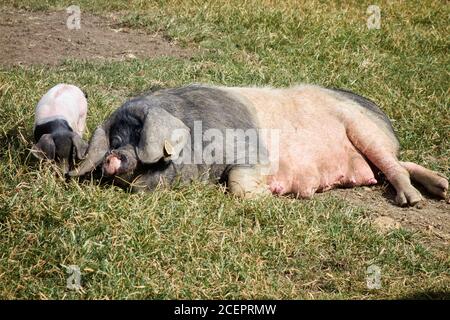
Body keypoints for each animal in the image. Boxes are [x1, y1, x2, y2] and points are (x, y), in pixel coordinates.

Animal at [68, 84, 448, 206]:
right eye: (115, 139)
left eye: (138, 137)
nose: (113, 158)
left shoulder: (254, 155)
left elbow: (238, 182)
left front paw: (276, 194)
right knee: (395, 165)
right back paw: (442, 189)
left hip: (365, 130)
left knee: (395, 165)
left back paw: (414, 201)